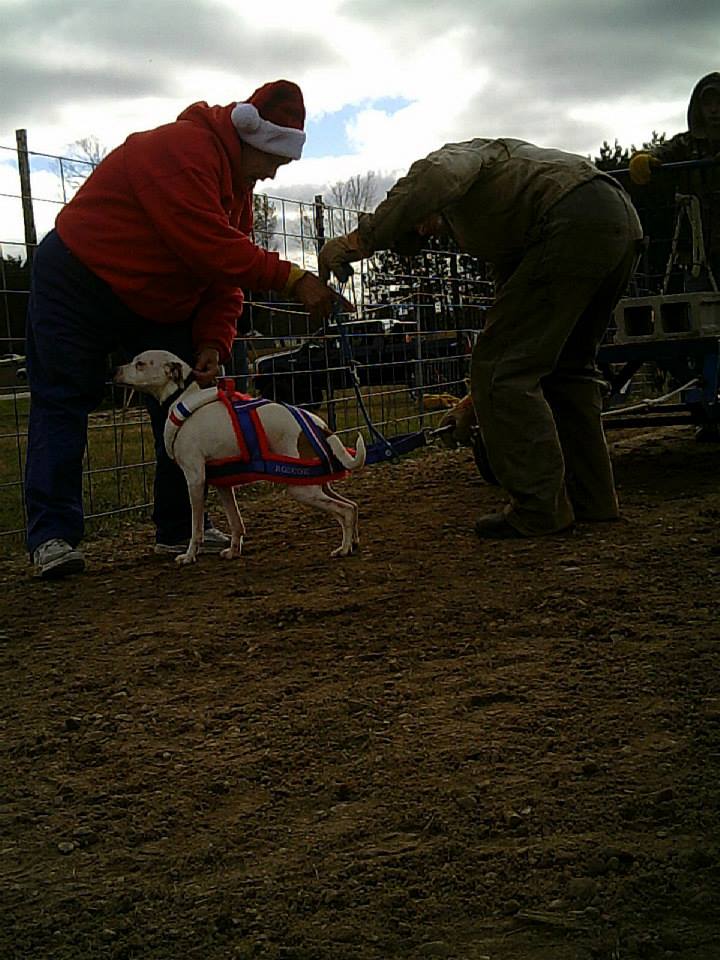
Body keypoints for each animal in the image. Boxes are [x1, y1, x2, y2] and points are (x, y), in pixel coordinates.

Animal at [117, 350, 368, 564]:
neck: (181, 396)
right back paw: (353, 542)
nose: (115, 370)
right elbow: (236, 522)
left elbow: (196, 528)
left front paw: (189, 556)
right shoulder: (222, 484)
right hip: (316, 483)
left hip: (302, 488)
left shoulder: (195, 480)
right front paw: (234, 551)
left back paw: (344, 548)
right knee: (353, 506)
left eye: (140, 363)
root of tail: (321, 426)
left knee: (345, 511)